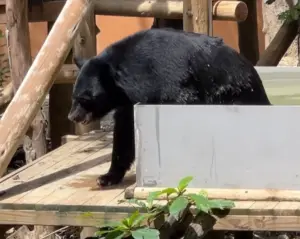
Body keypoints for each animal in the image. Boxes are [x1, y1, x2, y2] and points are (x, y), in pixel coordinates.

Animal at [67, 28, 270, 187]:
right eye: (73, 96)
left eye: (84, 99)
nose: (72, 116)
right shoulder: (129, 102)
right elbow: (125, 132)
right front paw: (107, 177)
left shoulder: (169, 79)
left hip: (233, 95)